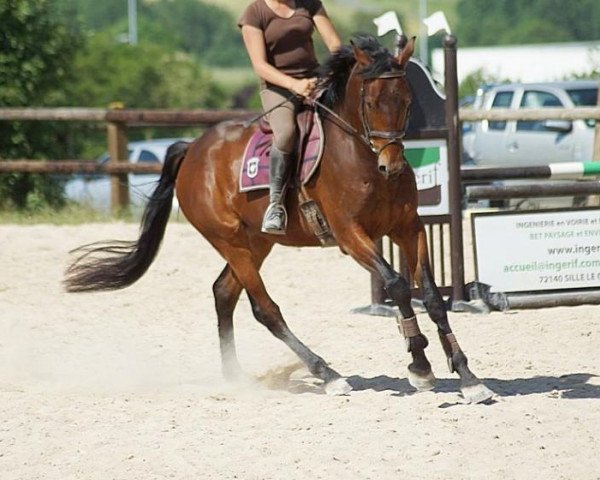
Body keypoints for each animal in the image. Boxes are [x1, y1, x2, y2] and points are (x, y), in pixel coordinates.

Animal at [65, 33, 494, 404]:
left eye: (406, 100)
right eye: (371, 103)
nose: (392, 166)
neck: (360, 158)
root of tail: (192, 150)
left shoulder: (408, 229)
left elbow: (432, 298)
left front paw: (468, 377)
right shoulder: (351, 236)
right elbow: (398, 286)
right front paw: (419, 365)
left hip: (256, 242)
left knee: (224, 293)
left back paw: (236, 377)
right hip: (230, 241)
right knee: (264, 309)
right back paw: (327, 374)